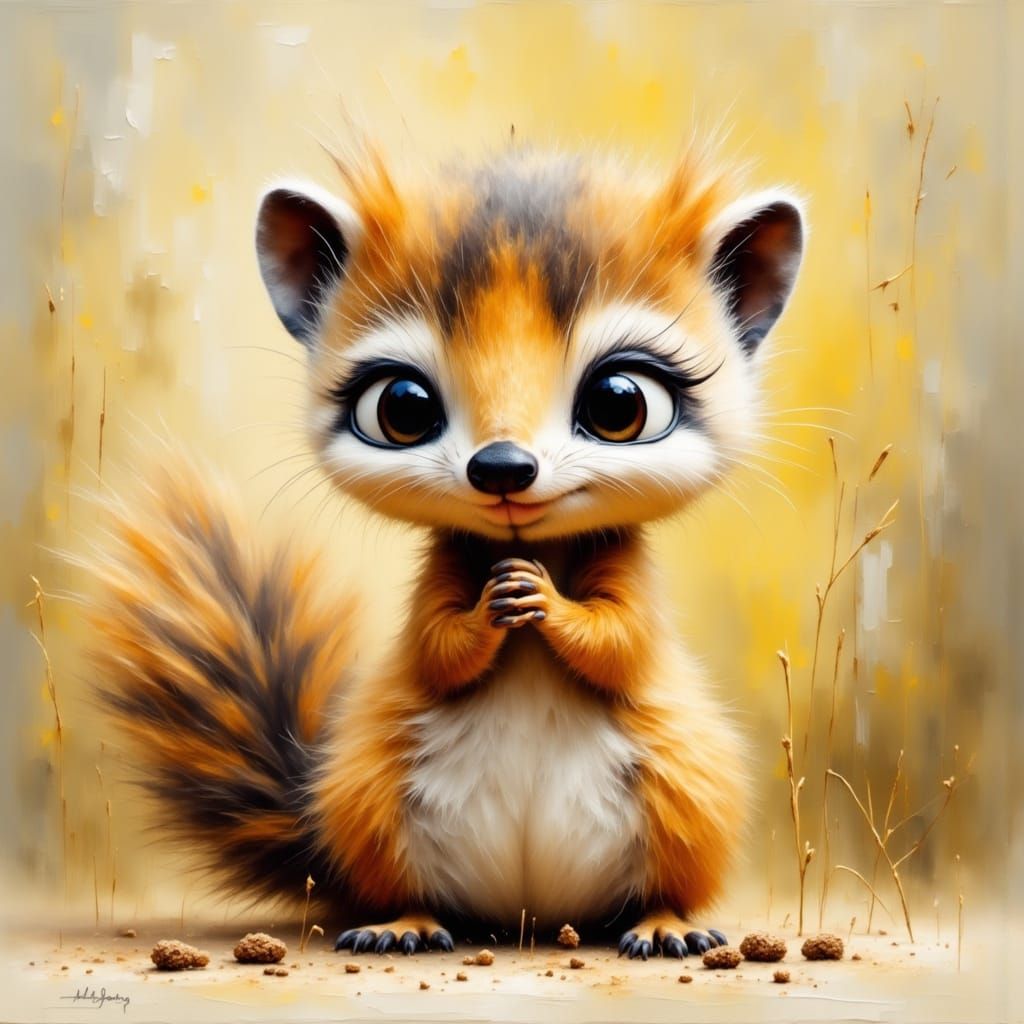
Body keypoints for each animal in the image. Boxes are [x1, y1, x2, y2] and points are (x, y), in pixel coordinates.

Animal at [87, 146, 804, 960]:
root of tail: (528, 914)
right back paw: (405, 923)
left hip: (687, 789)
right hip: (373, 797)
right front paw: (494, 608)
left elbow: (621, 642)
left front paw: (545, 601)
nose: (502, 469)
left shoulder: (629, 569)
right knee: (412, 887)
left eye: (620, 403)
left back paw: (664, 923)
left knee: (665, 881)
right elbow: (435, 647)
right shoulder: (441, 569)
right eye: (402, 407)